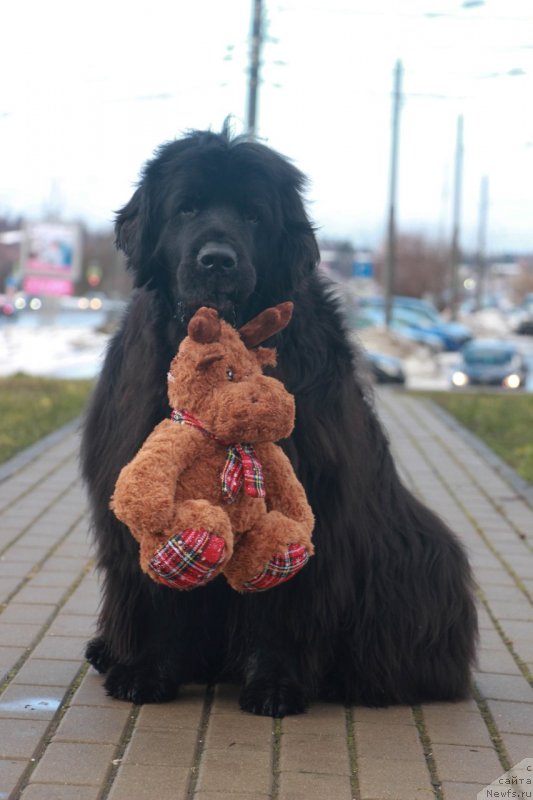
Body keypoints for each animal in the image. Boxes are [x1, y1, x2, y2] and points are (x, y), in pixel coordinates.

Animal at [83, 128, 478, 716]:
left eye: (253, 214)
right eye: (187, 208)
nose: (217, 260)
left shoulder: (315, 494)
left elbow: (287, 596)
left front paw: (276, 684)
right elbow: (152, 584)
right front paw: (144, 672)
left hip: (423, 556)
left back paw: (367, 682)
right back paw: (108, 650)